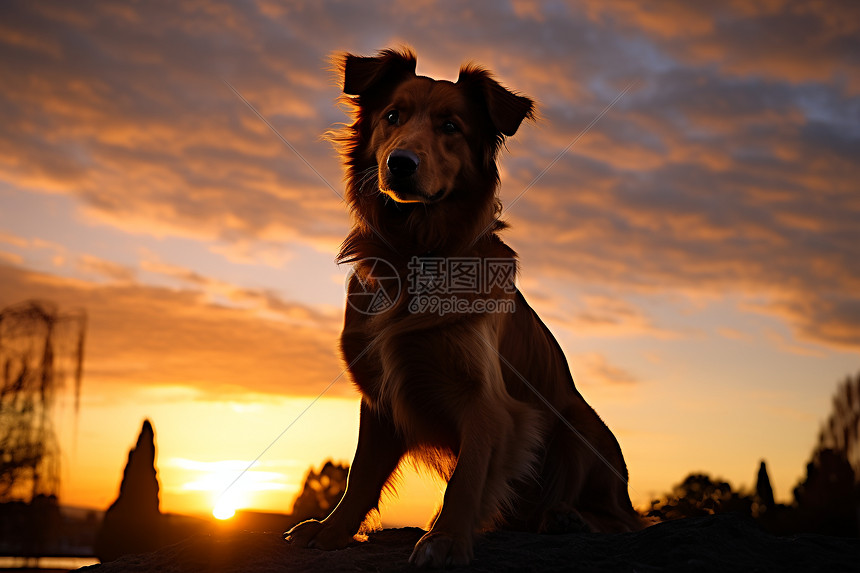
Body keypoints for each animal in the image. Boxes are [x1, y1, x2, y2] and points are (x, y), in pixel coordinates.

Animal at [286, 49, 640, 568]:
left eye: (451, 126)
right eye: (393, 116)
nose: (400, 163)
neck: (416, 253)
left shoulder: (491, 404)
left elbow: (467, 475)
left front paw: (446, 539)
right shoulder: (381, 394)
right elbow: (361, 473)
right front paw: (332, 531)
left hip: (577, 426)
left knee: (624, 520)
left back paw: (568, 517)